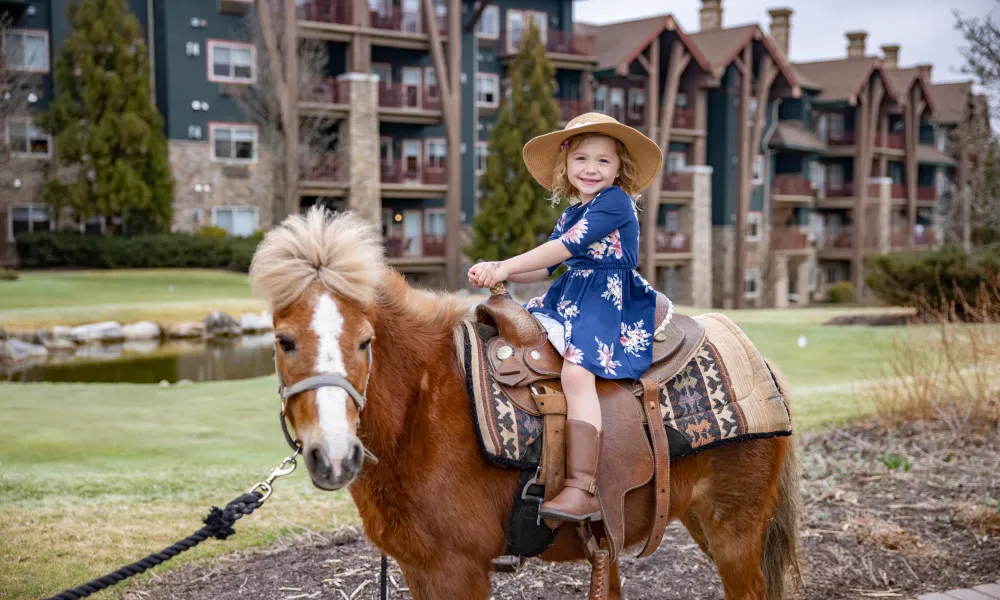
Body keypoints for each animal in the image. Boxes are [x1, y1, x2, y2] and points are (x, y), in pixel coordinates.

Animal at [247, 207, 803, 600]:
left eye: (365, 342)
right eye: (283, 341)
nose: (335, 455)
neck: (420, 414)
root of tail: (762, 363)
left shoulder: (456, 571)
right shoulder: (420, 567)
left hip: (733, 527)